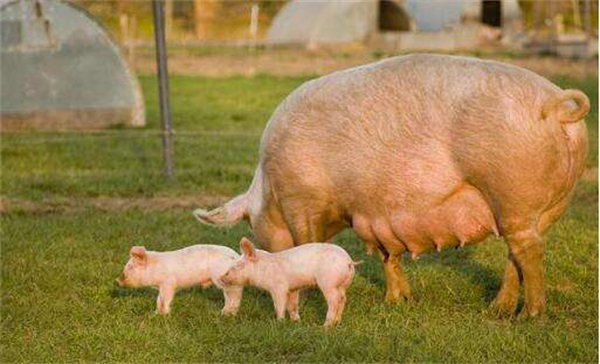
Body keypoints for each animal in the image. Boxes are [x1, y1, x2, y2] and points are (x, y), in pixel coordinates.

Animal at [195, 54, 588, 318]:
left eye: (251, 224)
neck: (270, 189)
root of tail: (555, 107)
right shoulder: (374, 213)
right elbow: (388, 256)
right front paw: (398, 301)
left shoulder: (303, 202)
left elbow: (309, 244)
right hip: (546, 206)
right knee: (516, 254)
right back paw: (498, 310)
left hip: (512, 191)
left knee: (528, 252)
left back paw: (529, 317)